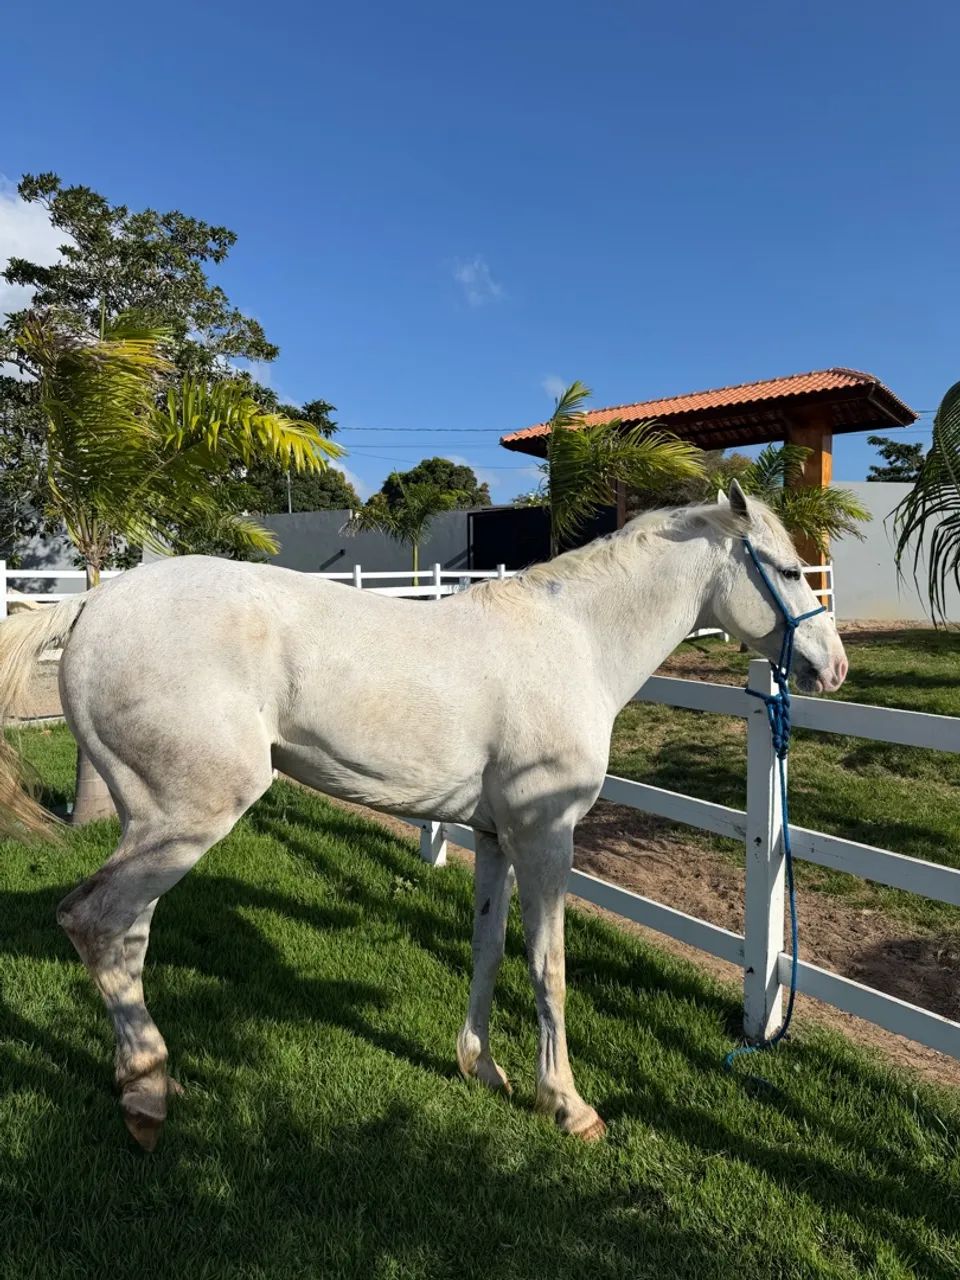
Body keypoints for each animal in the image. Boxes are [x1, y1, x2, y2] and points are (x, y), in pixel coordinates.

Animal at [0, 480, 847, 1149]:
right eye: (791, 570)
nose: (832, 667)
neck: (573, 642)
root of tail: (94, 600)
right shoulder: (547, 838)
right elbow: (548, 967)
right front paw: (568, 1105)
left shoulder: (496, 838)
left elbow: (488, 949)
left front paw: (483, 1067)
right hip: (185, 819)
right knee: (101, 923)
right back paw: (146, 1092)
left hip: (158, 825)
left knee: (120, 932)